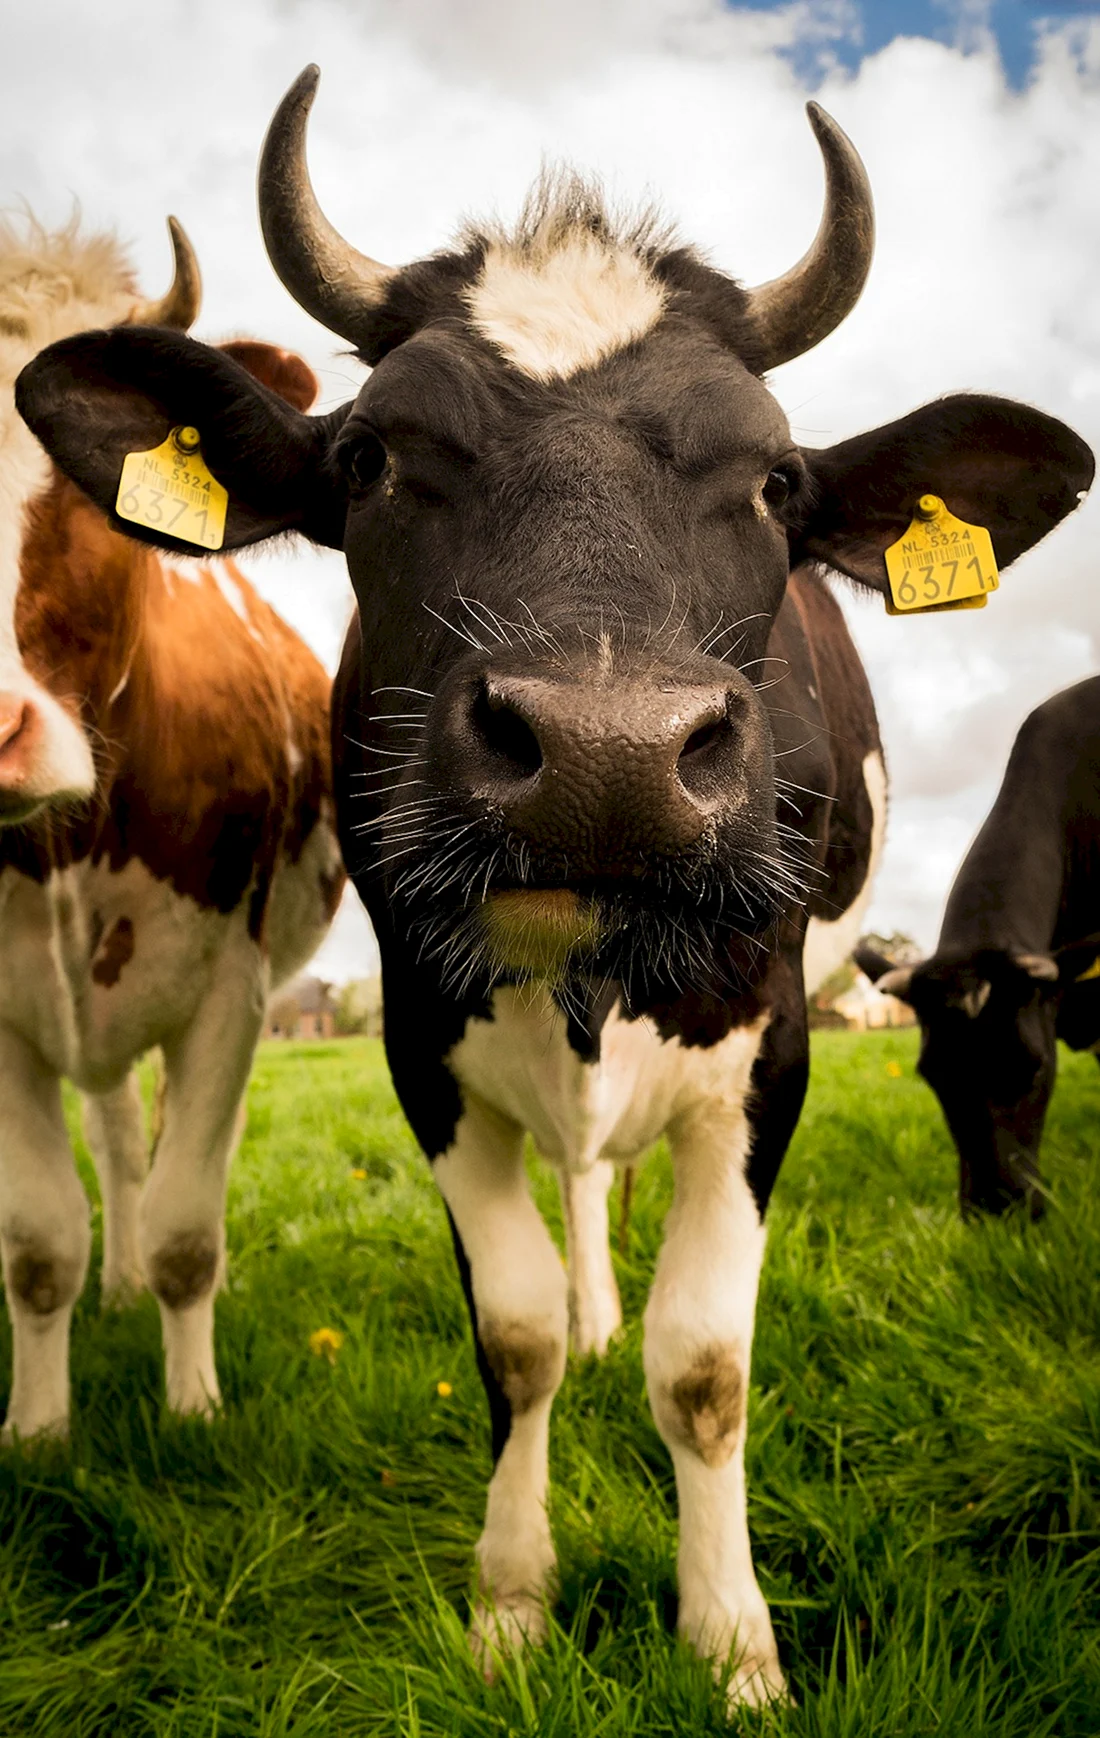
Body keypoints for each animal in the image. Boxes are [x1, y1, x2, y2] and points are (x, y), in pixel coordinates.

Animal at [0, 212, 343, 1446]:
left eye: (82, 477)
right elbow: (39, 1242)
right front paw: (38, 1428)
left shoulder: (230, 991)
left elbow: (189, 1221)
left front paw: (193, 1406)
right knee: (111, 1132)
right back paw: (116, 1285)